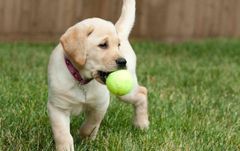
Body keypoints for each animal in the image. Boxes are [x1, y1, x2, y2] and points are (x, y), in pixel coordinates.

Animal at [47, 0, 149, 150]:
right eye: (103, 45)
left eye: (118, 45)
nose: (123, 61)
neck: (81, 80)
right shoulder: (57, 107)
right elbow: (62, 133)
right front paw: (66, 146)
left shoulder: (100, 104)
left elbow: (91, 124)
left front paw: (85, 137)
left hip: (126, 93)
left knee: (142, 92)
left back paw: (141, 124)